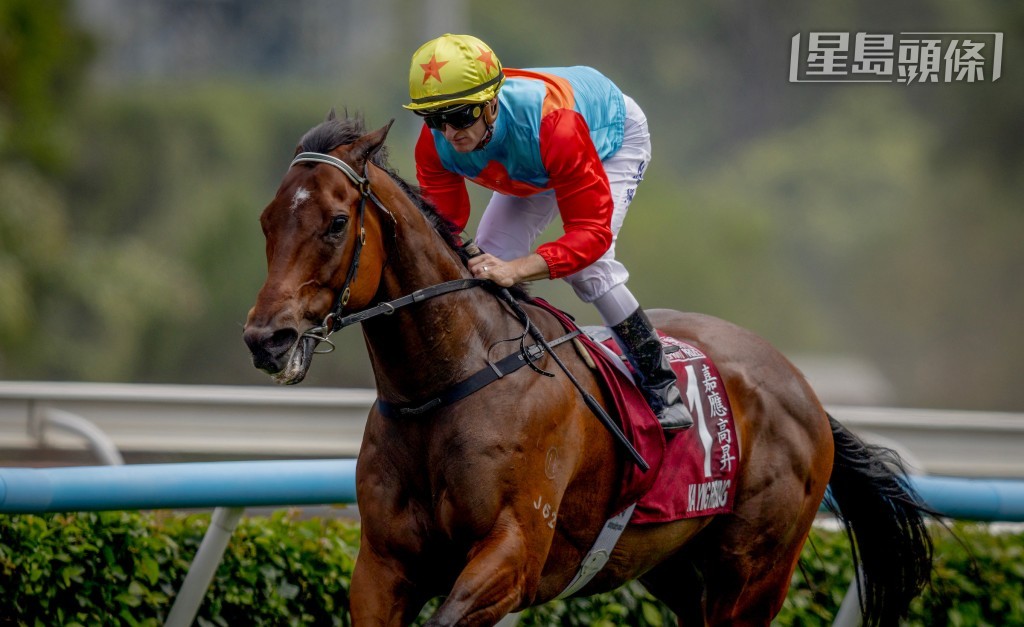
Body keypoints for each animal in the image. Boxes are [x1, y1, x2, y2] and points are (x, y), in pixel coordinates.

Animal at [243, 113, 933, 626]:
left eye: (336, 223)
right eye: (267, 222)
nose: (266, 339)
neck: (444, 387)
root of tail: (803, 389)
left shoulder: (512, 555)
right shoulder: (383, 565)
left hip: (753, 578)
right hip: (676, 569)